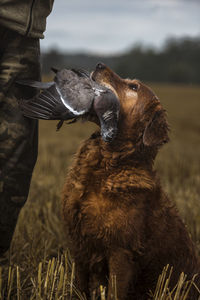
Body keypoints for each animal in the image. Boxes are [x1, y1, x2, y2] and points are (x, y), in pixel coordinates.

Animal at [62, 62, 200, 298]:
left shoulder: (121, 251)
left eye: (133, 87)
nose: (99, 64)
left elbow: (114, 293)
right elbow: (80, 287)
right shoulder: (79, 244)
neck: (107, 164)